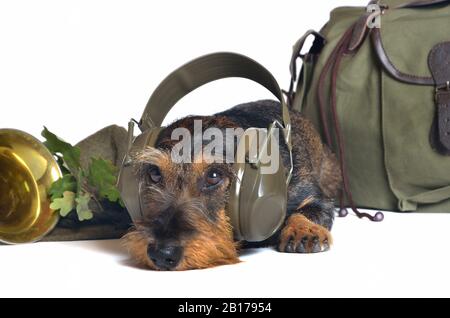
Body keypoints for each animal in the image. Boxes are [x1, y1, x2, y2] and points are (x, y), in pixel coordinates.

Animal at [123, 100, 342, 270]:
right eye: (154, 174)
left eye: (213, 175)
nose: (161, 254)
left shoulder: (314, 196)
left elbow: (311, 209)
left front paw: (305, 231)